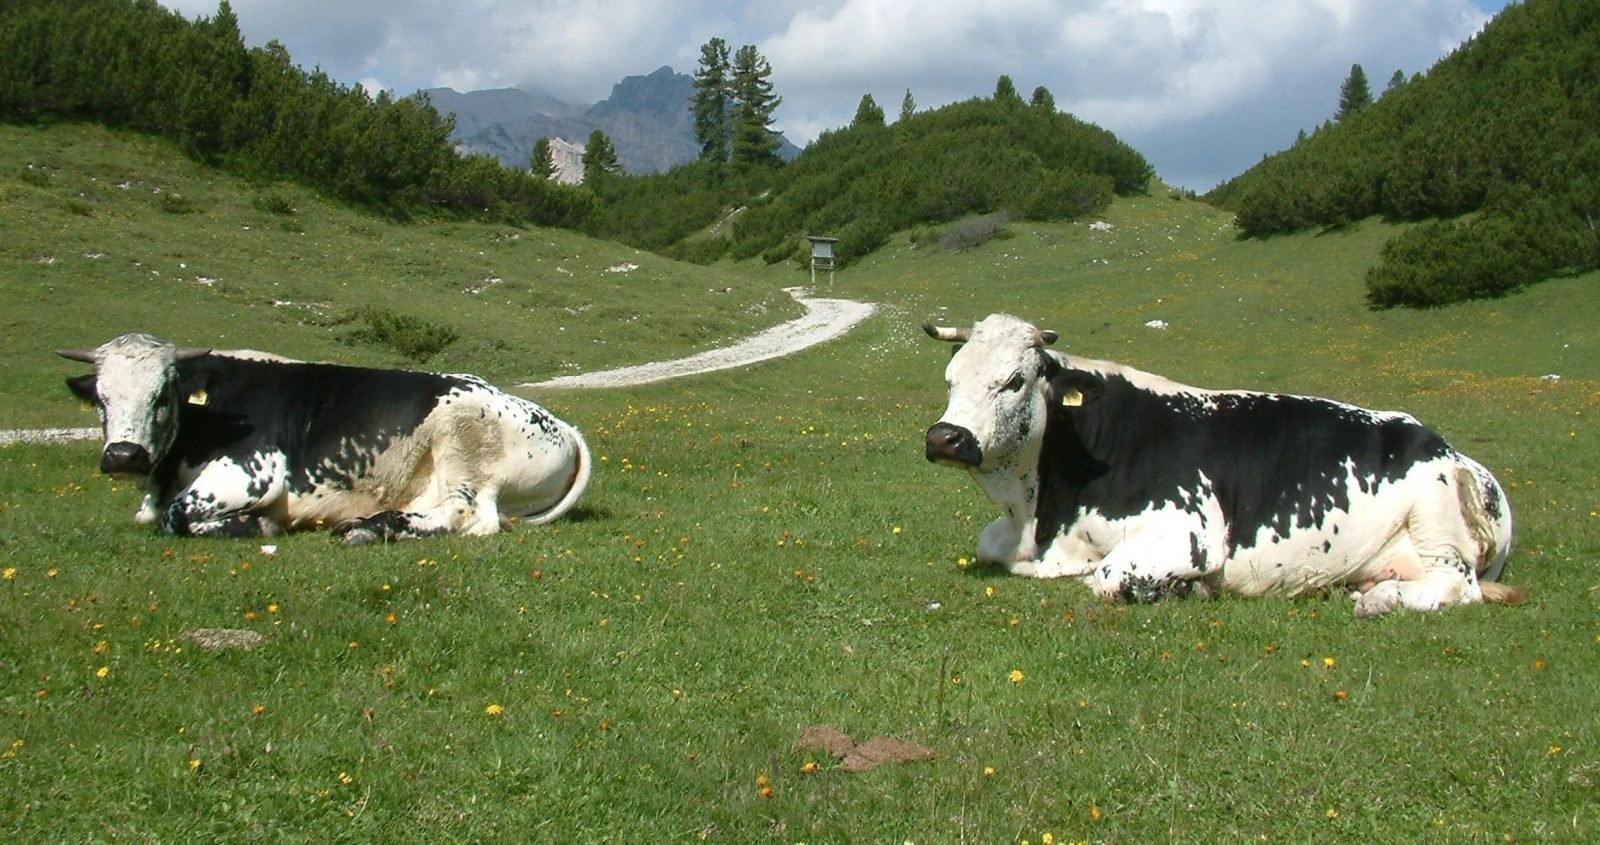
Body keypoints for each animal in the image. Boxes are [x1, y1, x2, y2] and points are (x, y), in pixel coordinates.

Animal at [56, 329, 598, 540]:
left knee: (471, 517)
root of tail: (563, 426)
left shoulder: (253, 471)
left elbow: (176, 515)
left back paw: (369, 529)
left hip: (461, 439)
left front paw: (260, 525)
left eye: (162, 395)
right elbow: (154, 514)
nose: (123, 456)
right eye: (101, 399)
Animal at [921, 313, 1516, 617]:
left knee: (1454, 586)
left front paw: (1185, 589)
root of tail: (1455, 452)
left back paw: (1380, 601)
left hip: (1437, 520)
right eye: (950, 378)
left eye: (1013, 381)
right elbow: (990, 545)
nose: (945, 437)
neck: (1040, 510)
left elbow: (1109, 576)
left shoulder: (1189, 531)